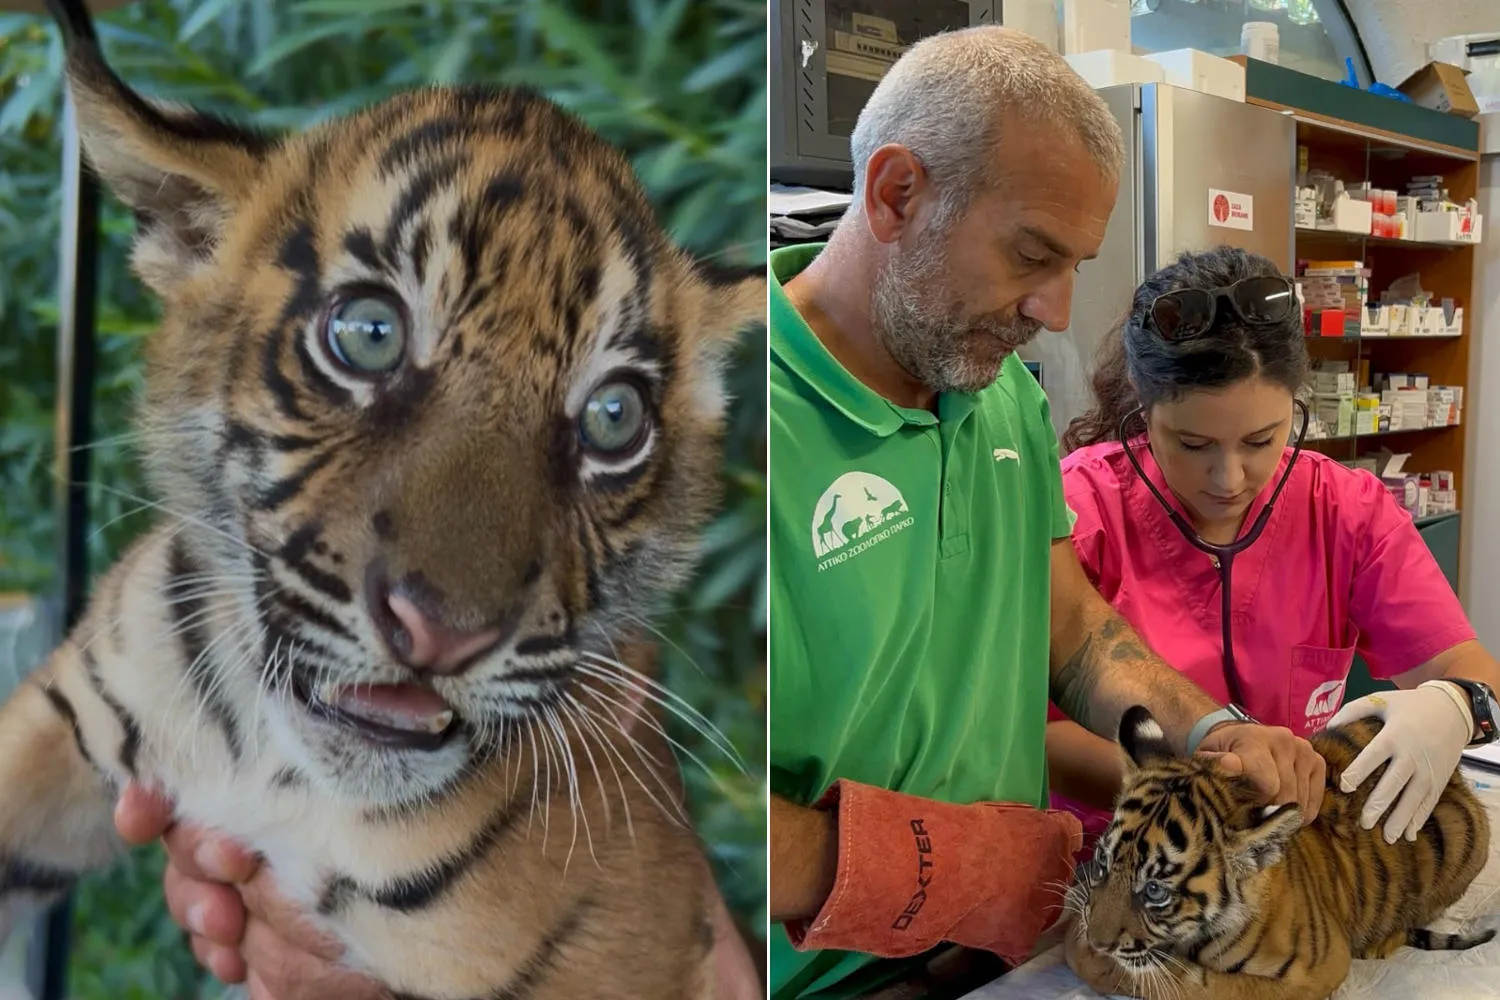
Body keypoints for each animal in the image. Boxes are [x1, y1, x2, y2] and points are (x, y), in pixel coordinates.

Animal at [1063, 704, 1494, 1000]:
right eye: (1103, 862)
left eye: (1155, 891)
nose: (1097, 941)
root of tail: (1456, 778)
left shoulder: (1317, 969)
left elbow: (1199, 986)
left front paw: (1099, 961)